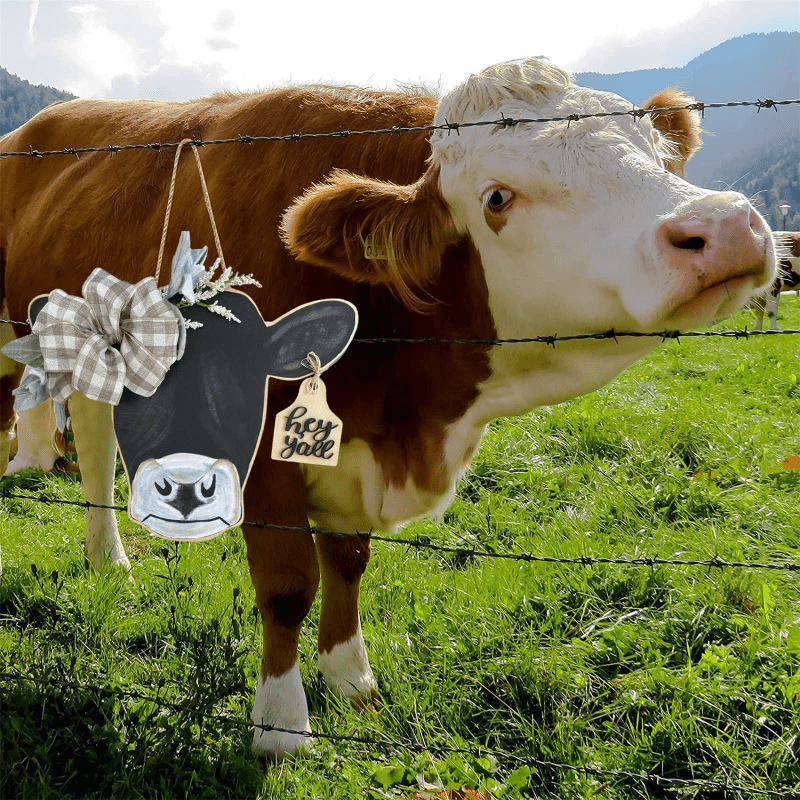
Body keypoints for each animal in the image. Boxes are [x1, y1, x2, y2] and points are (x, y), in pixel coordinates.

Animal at [0, 57, 777, 759]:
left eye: (658, 154)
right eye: (497, 198)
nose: (725, 226)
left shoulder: (347, 456)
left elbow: (347, 563)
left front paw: (352, 681)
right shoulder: (267, 458)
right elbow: (288, 584)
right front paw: (282, 726)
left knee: (94, 441)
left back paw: (109, 560)